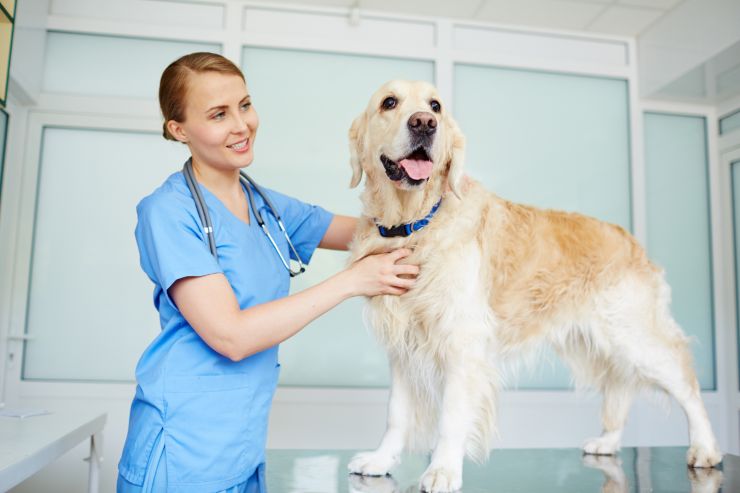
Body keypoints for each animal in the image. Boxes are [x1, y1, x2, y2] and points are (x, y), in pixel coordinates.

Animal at [346, 79, 724, 490]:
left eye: (436, 106)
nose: (424, 124)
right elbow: (396, 414)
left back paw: (705, 448)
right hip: (599, 340)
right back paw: (608, 442)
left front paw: (443, 469)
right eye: (389, 102)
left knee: (687, 385)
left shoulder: (462, 341)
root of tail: (629, 238)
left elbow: (451, 415)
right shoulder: (403, 345)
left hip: (633, 334)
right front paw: (381, 459)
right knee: (620, 387)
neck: (415, 224)